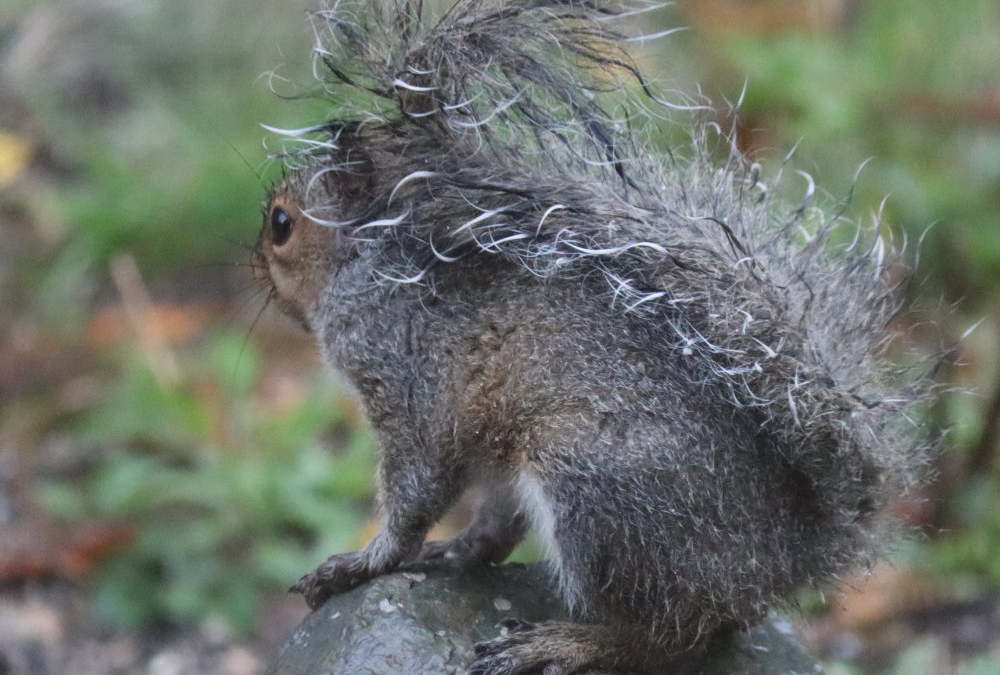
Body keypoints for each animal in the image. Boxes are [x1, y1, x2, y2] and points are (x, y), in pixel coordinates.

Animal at [252, 2, 936, 672]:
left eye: (281, 224)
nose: (256, 269)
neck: (367, 266)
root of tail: (787, 560)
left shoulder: (409, 380)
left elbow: (414, 492)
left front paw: (362, 563)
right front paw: (426, 553)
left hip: (594, 485)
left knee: (668, 637)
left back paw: (562, 644)